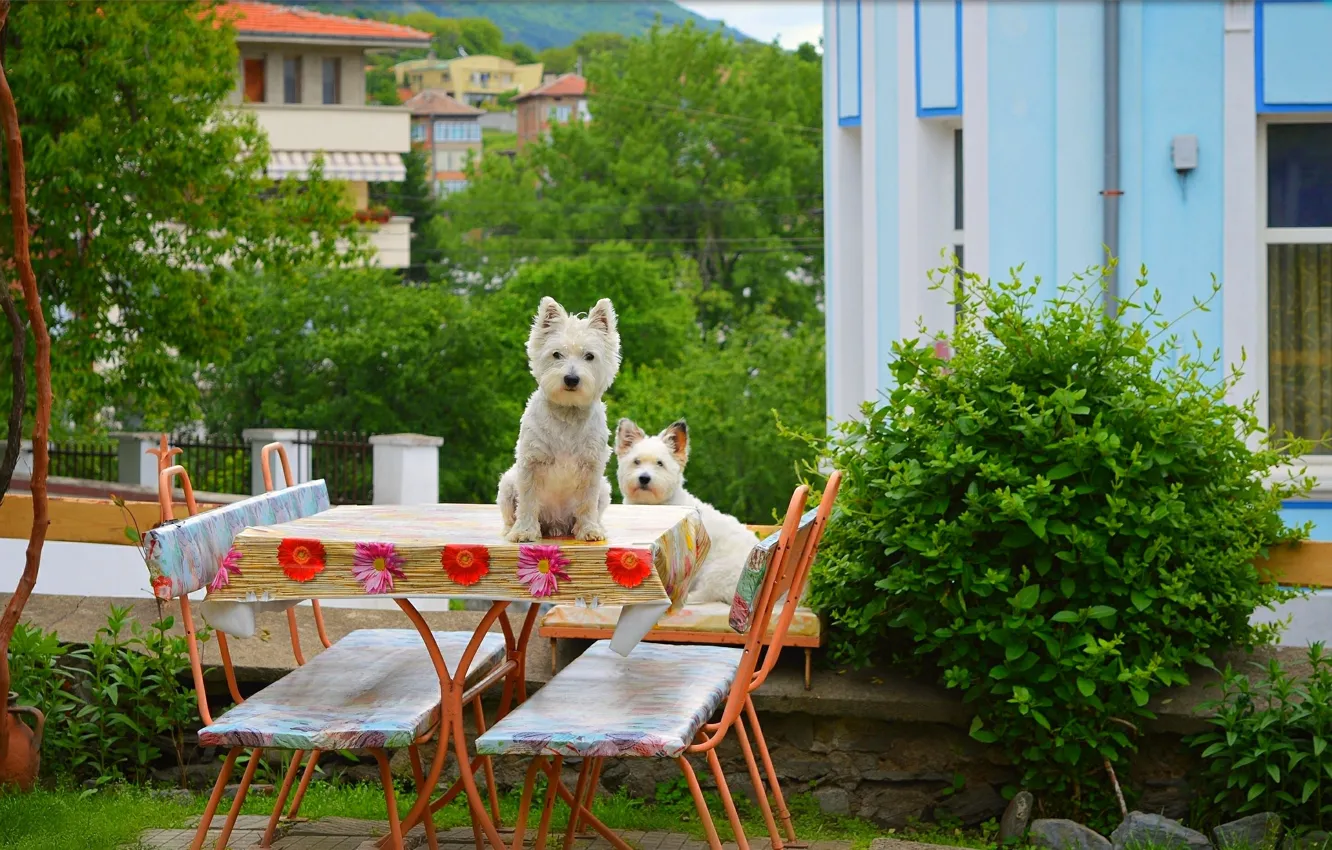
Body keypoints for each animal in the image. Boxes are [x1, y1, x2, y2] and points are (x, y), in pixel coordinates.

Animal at [500, 295, 620, 543]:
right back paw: (512, 529)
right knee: (510, 513)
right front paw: (524, 532)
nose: (571, 379)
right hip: (506, 484)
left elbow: (587, 503)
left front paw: (589, 530)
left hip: (605, 489)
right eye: (556, 354)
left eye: (589, 356)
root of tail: (556, 526)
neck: (567, 412)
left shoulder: (592, 467)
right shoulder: (530, 463)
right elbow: (527, 501)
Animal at [615, 421, 761, 607]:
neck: (653, 506)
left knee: (709, 593)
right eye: (636, 461)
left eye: (660, 463)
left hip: (716, 571)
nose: (644, 478)